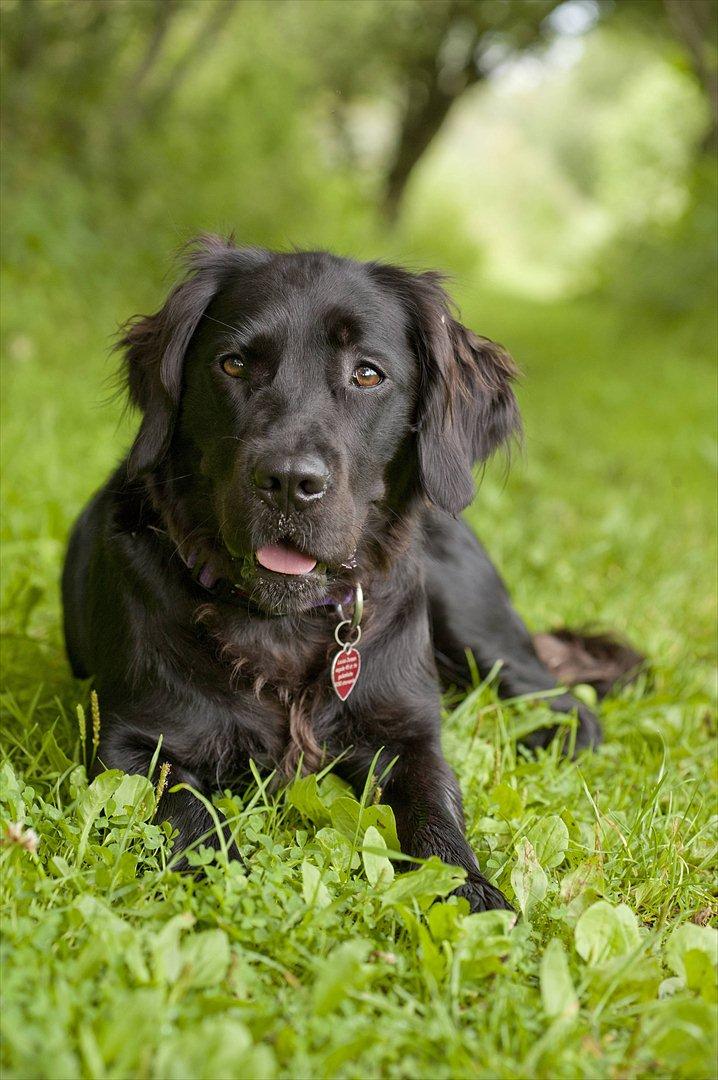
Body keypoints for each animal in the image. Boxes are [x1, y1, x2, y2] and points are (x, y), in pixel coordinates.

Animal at [61, 236, 634, 911]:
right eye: (233, 365)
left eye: (367, 374)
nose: (289, 481)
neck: (284, 624)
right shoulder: (135, 741)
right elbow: (188, 813)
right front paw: (222, 881)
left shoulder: (409, 732)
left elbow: (435, 811)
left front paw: (470, 891)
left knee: (561, 699)